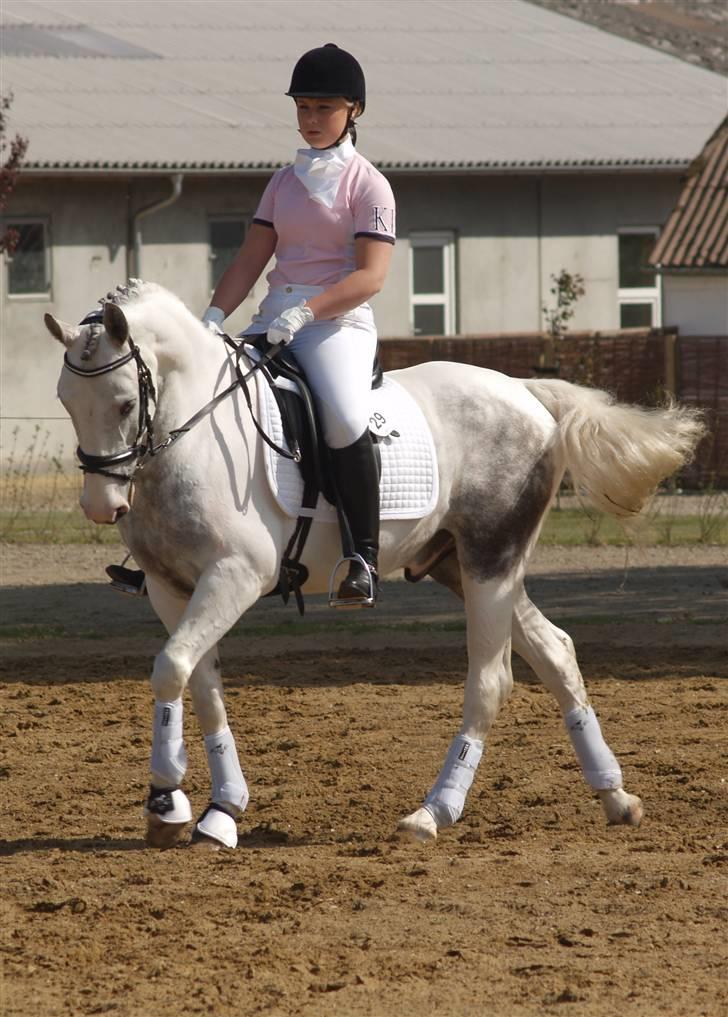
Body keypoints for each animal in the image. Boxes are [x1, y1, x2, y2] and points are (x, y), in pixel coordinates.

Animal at [42, 280, 703, 850]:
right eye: (66, 401)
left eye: (125, 402)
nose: (101, 506)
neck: (194, 434)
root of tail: (525, 392)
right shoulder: (170, 588)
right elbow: (200, 686)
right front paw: (217, 810)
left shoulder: (235, 575)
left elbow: (171, 667)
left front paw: (165, 800)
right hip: (463, 566)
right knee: (557, 651)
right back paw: (615, 797)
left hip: (490, 561)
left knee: (491, 681)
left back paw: (433, 812)